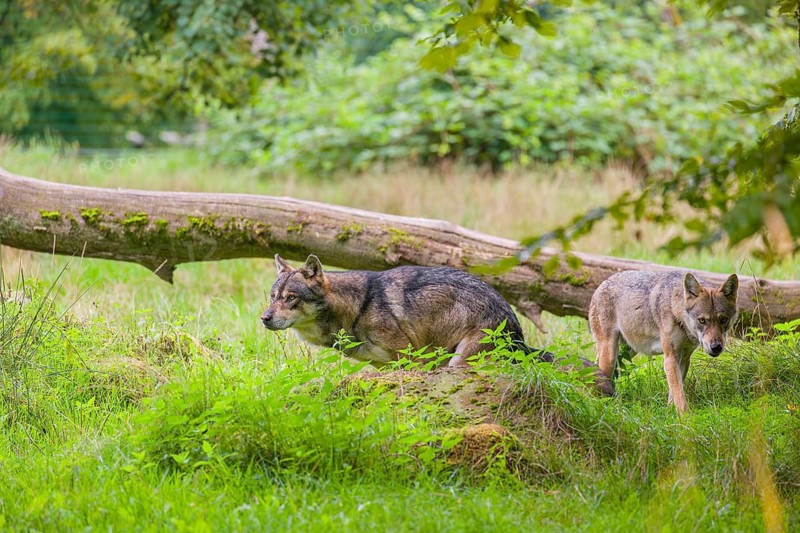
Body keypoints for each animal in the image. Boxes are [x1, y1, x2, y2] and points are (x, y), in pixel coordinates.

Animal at [261, 254, 613, 394]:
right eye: (272, 296)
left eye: (291, 298)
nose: (264, 318)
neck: (358, 306)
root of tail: (517, 331)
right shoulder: (385, 366)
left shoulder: (408, 359)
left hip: (460, 362)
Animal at [588, 270, 739, 412]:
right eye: (702, 320)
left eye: (723, 320)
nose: (716, 347)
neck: (676, 312)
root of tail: (601, 284)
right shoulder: (670, 357)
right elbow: (679, 392)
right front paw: (685, 416)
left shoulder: (684, 359)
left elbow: (674, 392)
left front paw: (669, 412)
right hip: (610, 357)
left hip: (627, 352)